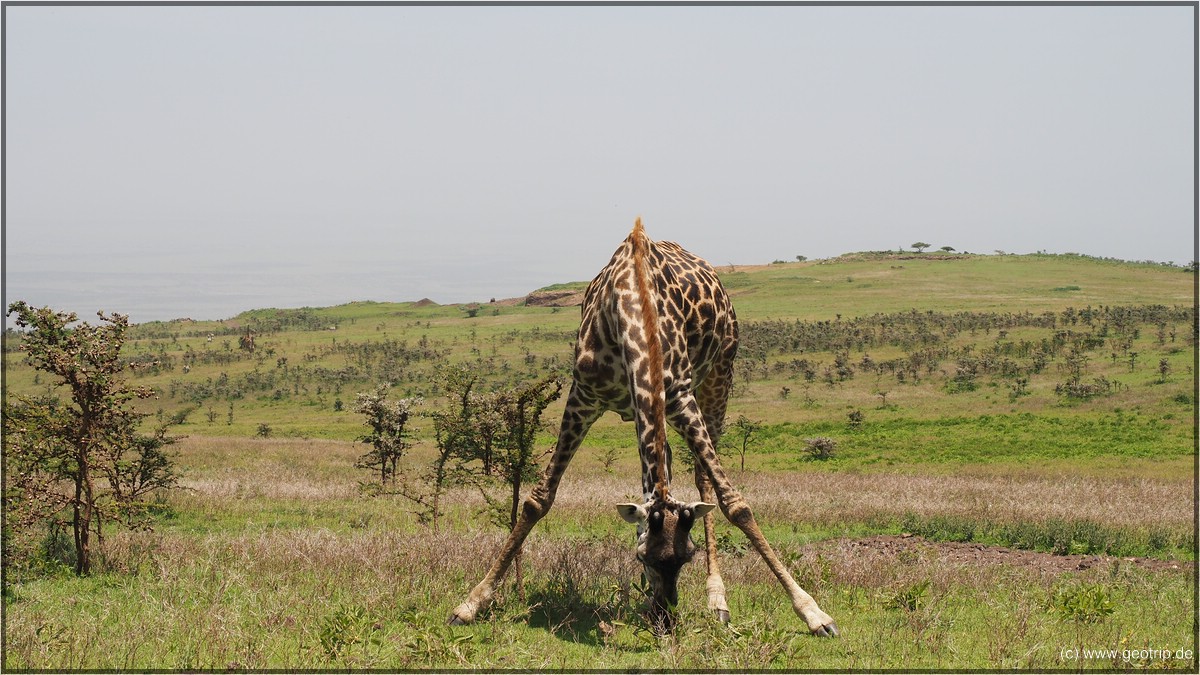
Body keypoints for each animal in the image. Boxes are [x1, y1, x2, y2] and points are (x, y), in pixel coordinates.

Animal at [446, 216, 840, 634]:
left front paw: (813, 612)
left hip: (720, 373)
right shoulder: (584, 397)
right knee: (659, 470)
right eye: (643, 559)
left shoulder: (679, 395)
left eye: (687, 556)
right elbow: (539, 500)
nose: (666, 617)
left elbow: (736, 504)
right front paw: (470, 603)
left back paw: (717, 599)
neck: (633, 309)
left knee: (702, 480)